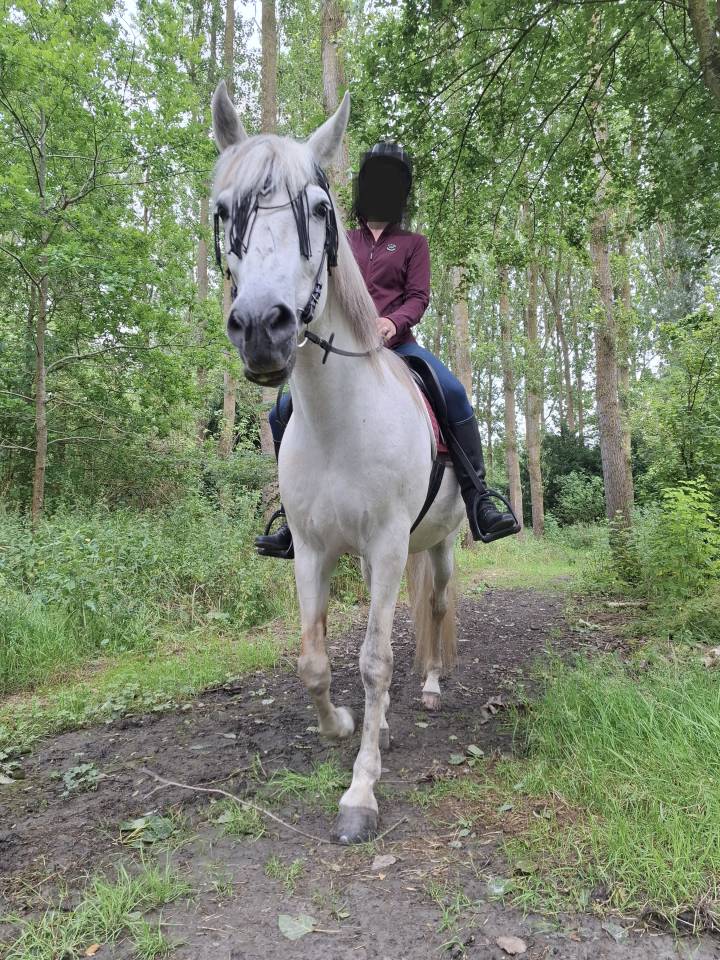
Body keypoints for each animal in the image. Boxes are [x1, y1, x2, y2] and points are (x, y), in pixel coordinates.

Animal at [210, 81, 466, 844]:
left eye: (320, 209)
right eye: (224, 211)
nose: (261, 326)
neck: (339, 423)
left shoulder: (386, 546)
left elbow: (376, 661)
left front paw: (361, 791)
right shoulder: (312, 549)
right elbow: (314, 661)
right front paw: (343, 726)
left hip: (440, 544)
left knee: (436, 605)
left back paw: (432, 687)